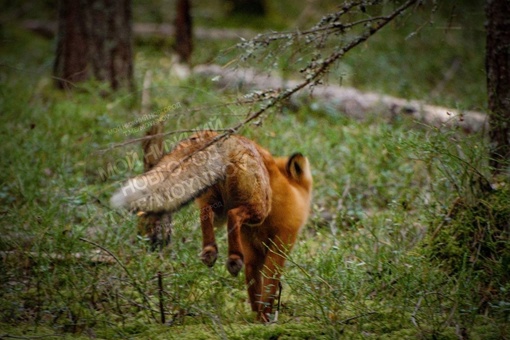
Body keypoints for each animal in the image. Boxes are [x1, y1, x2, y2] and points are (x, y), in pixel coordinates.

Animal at [109, 130, 312, 322]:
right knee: (233, 215)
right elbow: (270, 285)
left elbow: (255, 287)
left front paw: (258, 319)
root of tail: (227, 138)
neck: (292, 192)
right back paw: (233, 258)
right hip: (259, 207)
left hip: (217, 205)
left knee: (206, 214)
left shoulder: (253, 251)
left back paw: (210, 251)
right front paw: (266, 319)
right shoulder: (282, 243)